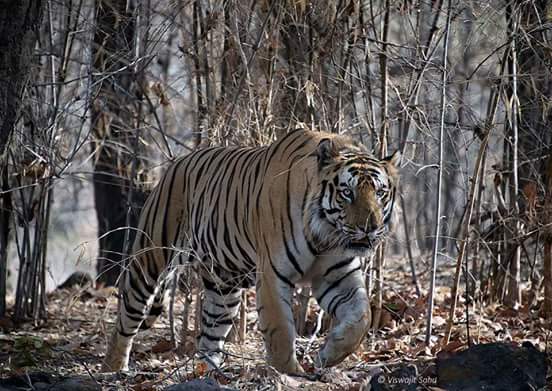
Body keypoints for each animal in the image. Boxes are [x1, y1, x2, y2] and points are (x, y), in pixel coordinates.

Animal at [100, 130, 402, 376]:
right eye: (347, 193)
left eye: (380, 193)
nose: (369, 228)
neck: (325, 235)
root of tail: (176, 163)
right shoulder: (272, 274)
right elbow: (280, 329)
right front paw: (289, 373)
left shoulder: (338, 274)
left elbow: (361, 317)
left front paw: (329, 354)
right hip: (150, 261)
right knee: (126, 319)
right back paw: (113, 368)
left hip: (223, 286)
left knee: (209, 335)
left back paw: (209, 372)